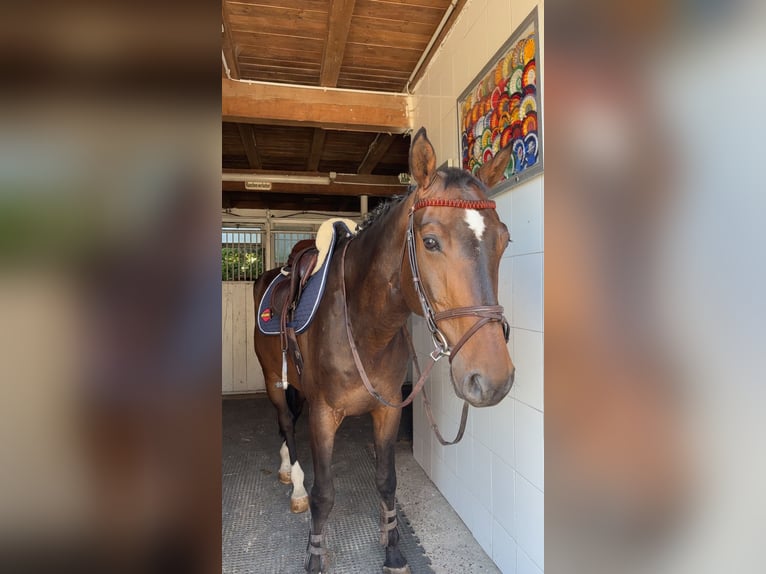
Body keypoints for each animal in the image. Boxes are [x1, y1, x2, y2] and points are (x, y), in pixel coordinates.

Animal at [252, 127, 515, 573]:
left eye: (504, 240)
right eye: (430, 242)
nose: (493, 379)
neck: (363, 325)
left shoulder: (388, 408)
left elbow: (387, 480)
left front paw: (392, 548)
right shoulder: (324, 414)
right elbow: (325, 493)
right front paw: (315, 555)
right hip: (273, 379)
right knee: (286, 422)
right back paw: (294, 482)